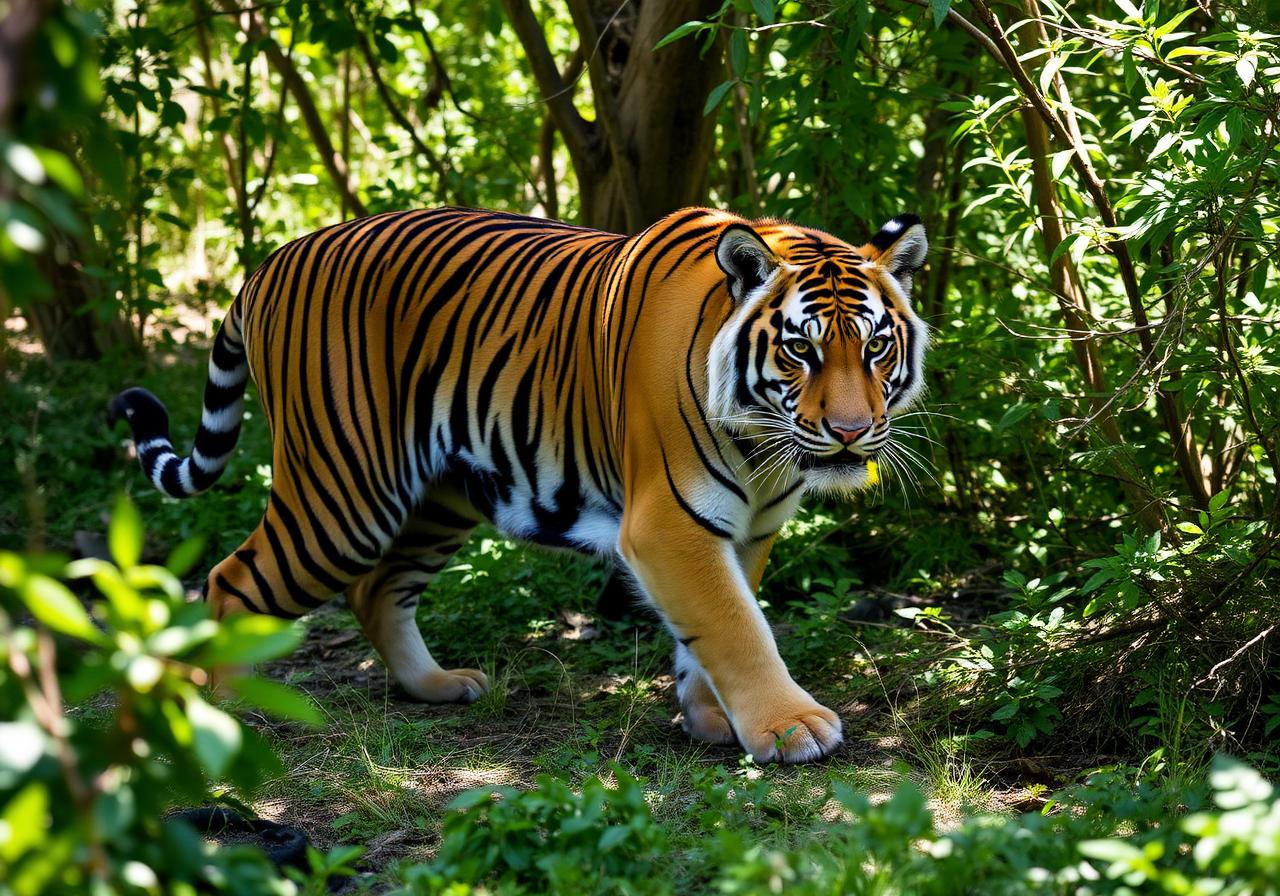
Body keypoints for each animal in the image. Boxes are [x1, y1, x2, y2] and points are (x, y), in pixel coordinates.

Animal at [110, 206, 928, 763]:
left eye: (876, 347)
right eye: (801, 350)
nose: (852, 431)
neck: (764, 450)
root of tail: (270, 263)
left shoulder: (747, 529)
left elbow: (718, 624)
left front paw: (712, 718)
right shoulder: (670, 524)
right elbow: (735, 625)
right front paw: (790, 726)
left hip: (438, 496)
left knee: (377, 589)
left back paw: (436, 685)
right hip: (342, 496)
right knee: (230, 581)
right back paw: (221, 728)